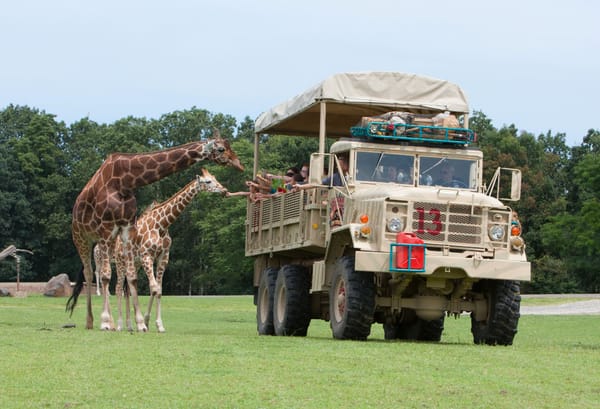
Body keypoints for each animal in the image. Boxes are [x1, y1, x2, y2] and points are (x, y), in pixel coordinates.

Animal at [113, 168, 226, 332]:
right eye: (208, 181)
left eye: (215, 178)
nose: (224, 190)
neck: (162, 225)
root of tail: (116, 242)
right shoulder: (147, 255)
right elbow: (154, 288)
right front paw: (146, 322)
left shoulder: (163, 257)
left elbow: (158, 290)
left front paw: (156, 324)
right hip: (120, 262)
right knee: (118, 288)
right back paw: (120, 325)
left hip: (135, 263)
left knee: (129, 287)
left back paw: (130, 325)